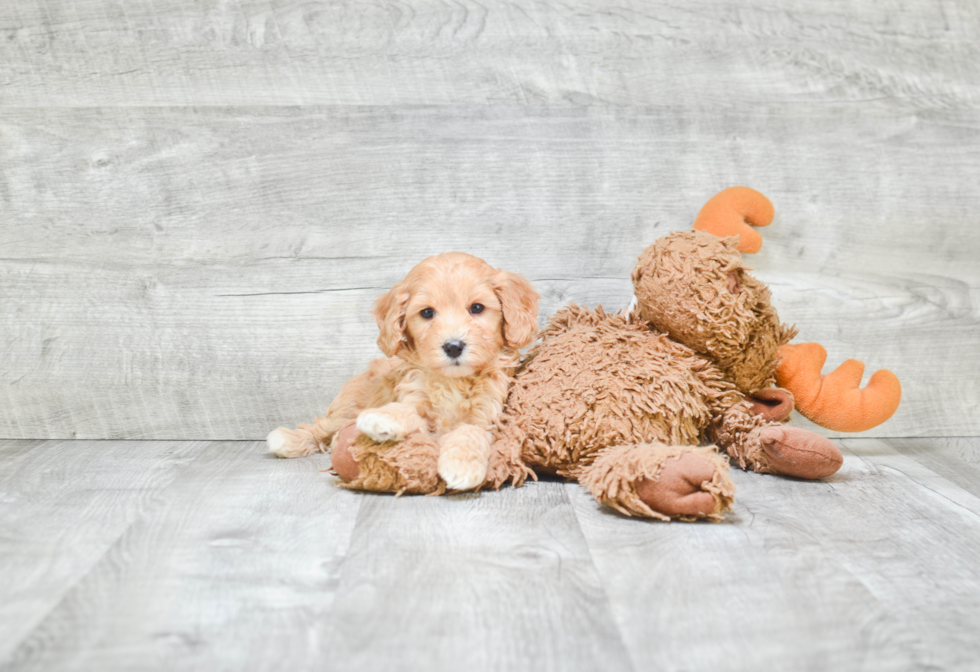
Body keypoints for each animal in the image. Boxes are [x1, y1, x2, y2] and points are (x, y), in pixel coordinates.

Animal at [266, 252, 536, 494]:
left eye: (477, 308)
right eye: (427, 313)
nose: (453, 346)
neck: (453, 381)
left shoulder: (489, 414)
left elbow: (469, 432)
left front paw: (461, 467)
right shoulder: (416, 399)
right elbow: (407, 411)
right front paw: (382, 417)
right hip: (348, 408)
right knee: (323, 427)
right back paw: (288, 440)